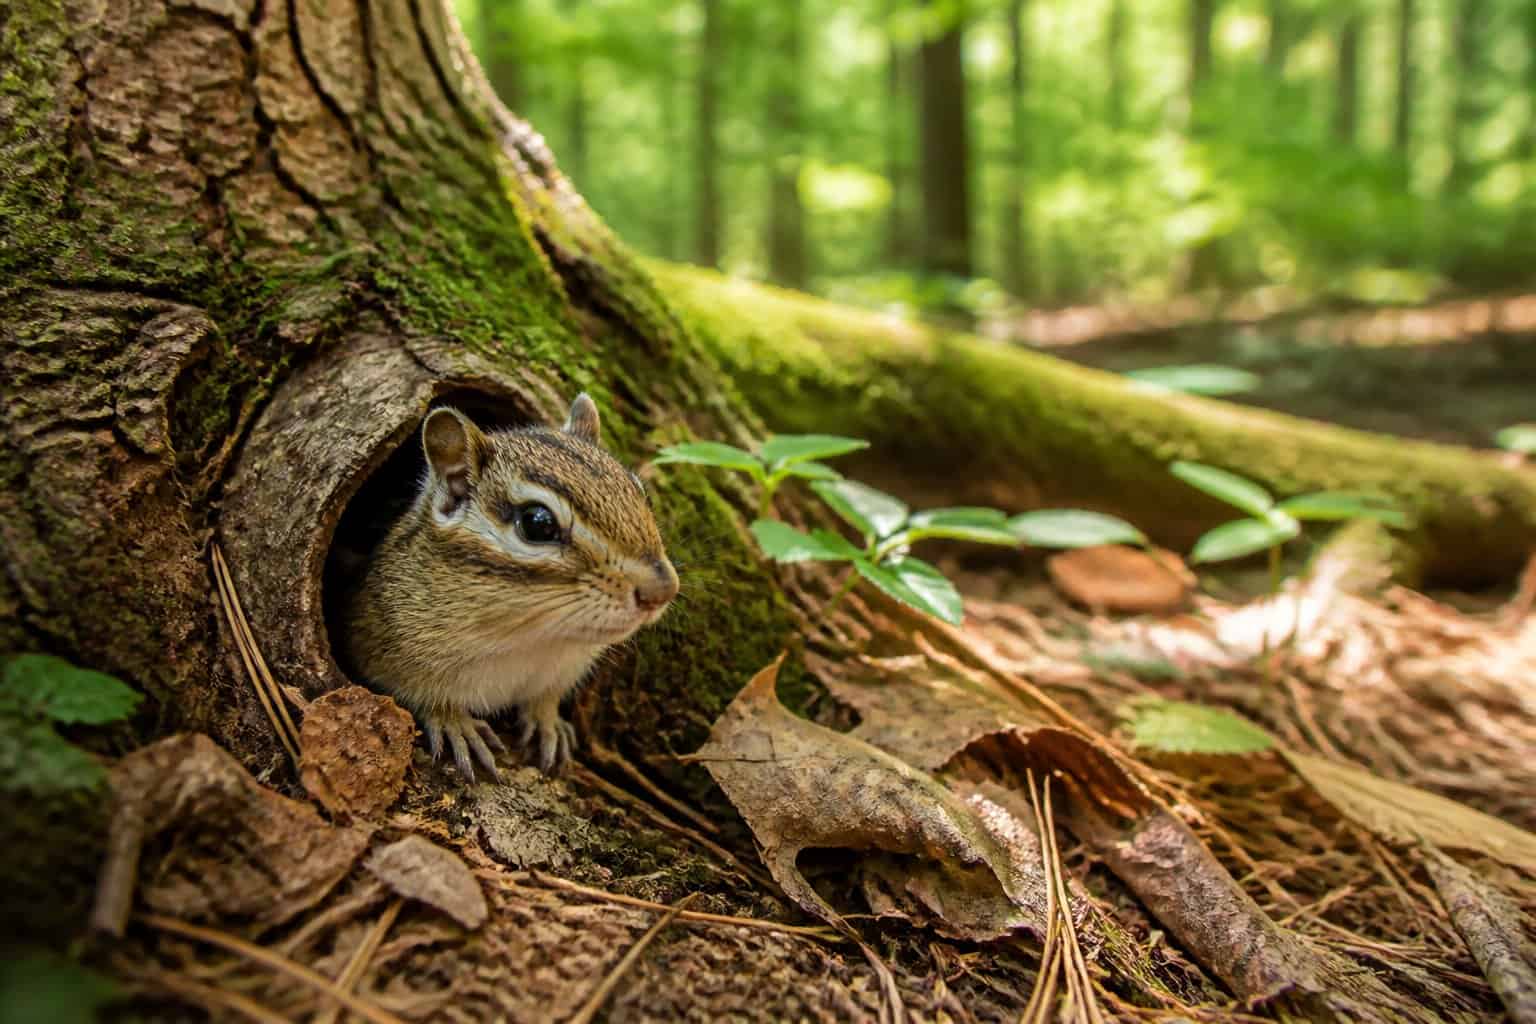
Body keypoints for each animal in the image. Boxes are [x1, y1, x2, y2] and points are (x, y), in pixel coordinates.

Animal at [342, 394, 678, 782]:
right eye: (537, 523)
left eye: (640, 493)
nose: (663, 591)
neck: (529, 641)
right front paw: (455, 722)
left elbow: (546, 700)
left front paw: (548, 722)